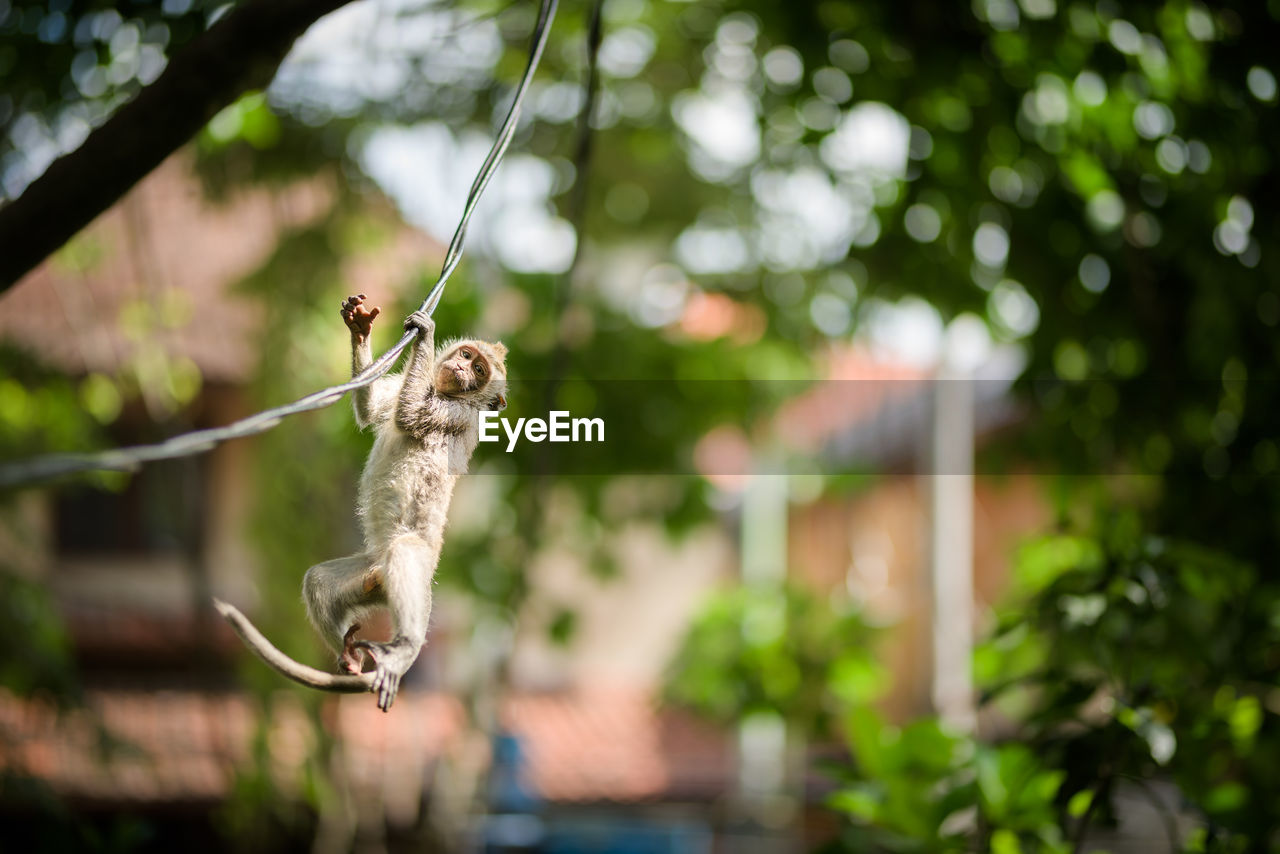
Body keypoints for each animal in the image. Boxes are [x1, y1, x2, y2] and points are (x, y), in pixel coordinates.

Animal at [295, 297, 509, 711]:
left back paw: (404, 648)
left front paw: (425, 334)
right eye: (466, 355)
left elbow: (409, 414)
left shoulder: (458, 415)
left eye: (478, 370)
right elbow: (374, 408)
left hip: (420, 558)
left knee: (407, 553)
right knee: (320, 582)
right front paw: (361, 328)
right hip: (370, 577)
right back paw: (350, 657)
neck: (448, 393)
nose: (461, 368)